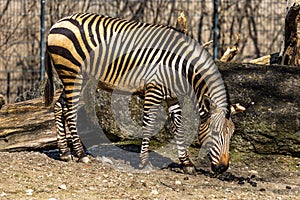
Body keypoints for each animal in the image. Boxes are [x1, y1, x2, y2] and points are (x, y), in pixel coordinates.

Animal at [44, 12, 234, 173]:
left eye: (231, 134)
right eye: (215, 133)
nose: (223, 168)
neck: (182, 67)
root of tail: (59, 22)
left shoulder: (173, 97)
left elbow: (178, 128)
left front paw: (186, 163)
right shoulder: (153, 90)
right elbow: (148, 126)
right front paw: (144, 162)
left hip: (78, 77)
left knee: (59, 107)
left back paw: (64, 153)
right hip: (72, 73)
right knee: (70, 111)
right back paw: (80, 154)